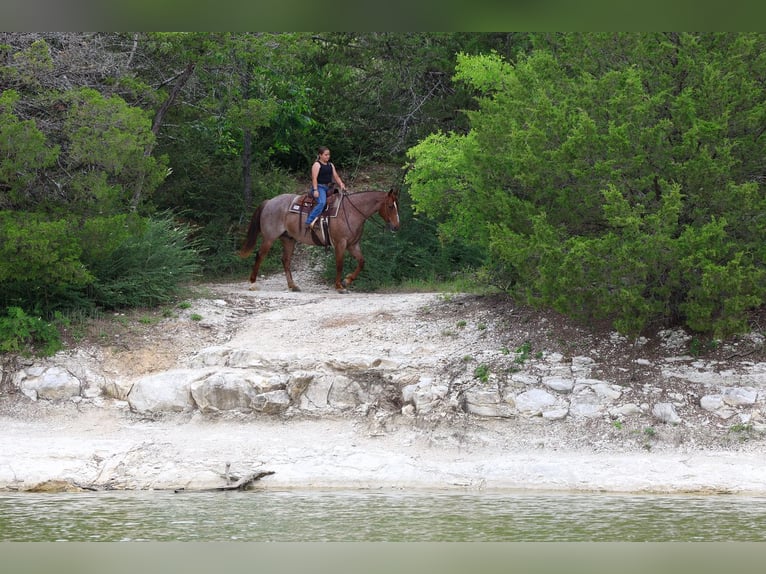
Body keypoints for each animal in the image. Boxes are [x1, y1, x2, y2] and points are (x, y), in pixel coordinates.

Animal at [238, 189, 400, 293]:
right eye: (390, 206)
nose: (396, 227)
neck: (351, 212)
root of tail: (269, 202)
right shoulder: (340, 244)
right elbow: (339, 265)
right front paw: (339, 286)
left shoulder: (353, 245)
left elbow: (361, 262)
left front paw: (347, 281)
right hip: (269, 238)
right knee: (260, 255)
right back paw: (253, 284)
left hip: (288, 239)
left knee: (285, 260)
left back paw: (293, 286)